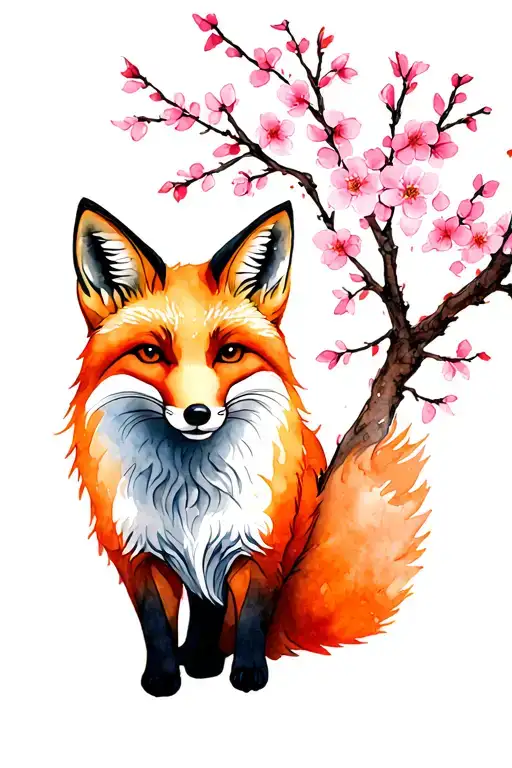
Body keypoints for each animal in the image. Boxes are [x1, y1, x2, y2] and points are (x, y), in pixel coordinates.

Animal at [68, 197, 430, 696]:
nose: (197, 414)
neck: (189, 490)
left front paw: (244, 671)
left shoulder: (258, 546)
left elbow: (251, 616)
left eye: (230, 353)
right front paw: (163, 677)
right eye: (151, 354)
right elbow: (156, 624)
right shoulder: (140, 554)